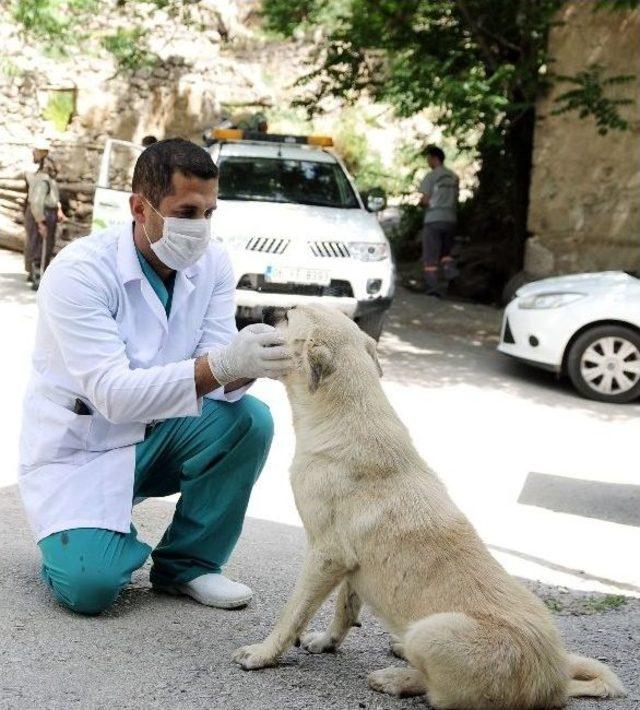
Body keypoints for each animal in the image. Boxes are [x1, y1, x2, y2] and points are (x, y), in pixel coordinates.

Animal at [231, 306, 624, 710]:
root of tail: (556, 681)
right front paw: (328, 642)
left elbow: (293, 613)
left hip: (430, 630)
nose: (265, 310)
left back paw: (396, 678)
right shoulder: (350, 565)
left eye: (288, 315)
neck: (345, 417)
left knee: (441, 695)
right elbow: (346, 608)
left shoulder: (325, 556)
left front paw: (263, 654)